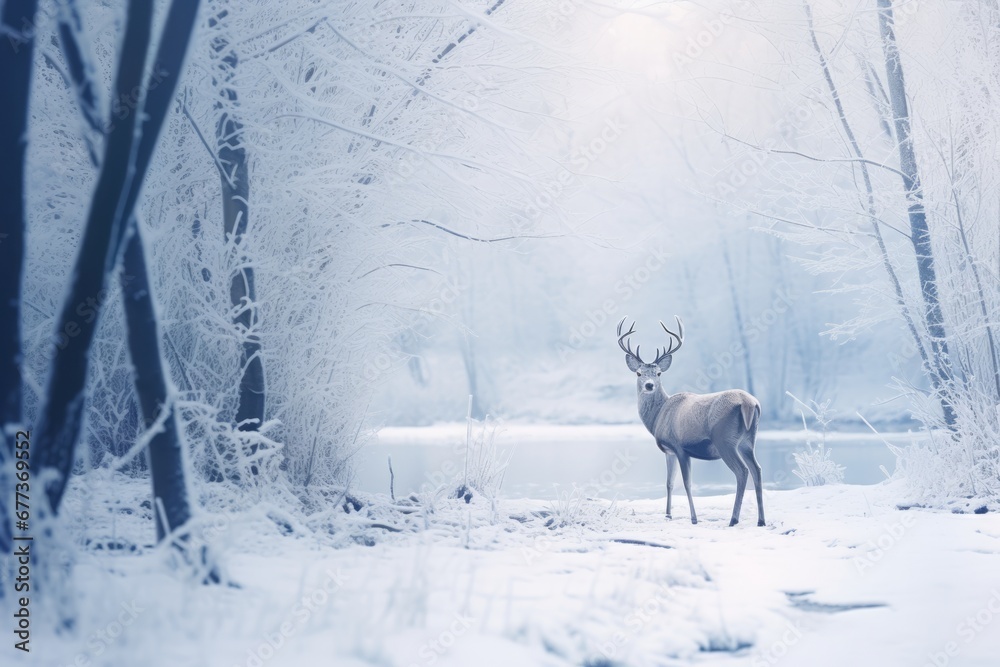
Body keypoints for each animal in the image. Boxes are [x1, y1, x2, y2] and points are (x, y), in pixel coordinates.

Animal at [617, 317, 765, 527]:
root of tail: (748, 403)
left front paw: (694, 518)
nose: (649, 385)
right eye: (638, 373)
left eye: (659, 373)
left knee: (742, 471)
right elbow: (669, 482)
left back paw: (733, 519)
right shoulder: (669, 450)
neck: (658, 416)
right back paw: (761, 520)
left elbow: (686, 483)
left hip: (725, 440)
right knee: (757, 470)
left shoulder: (680, 447)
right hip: (748, 441)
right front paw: (668, 515)